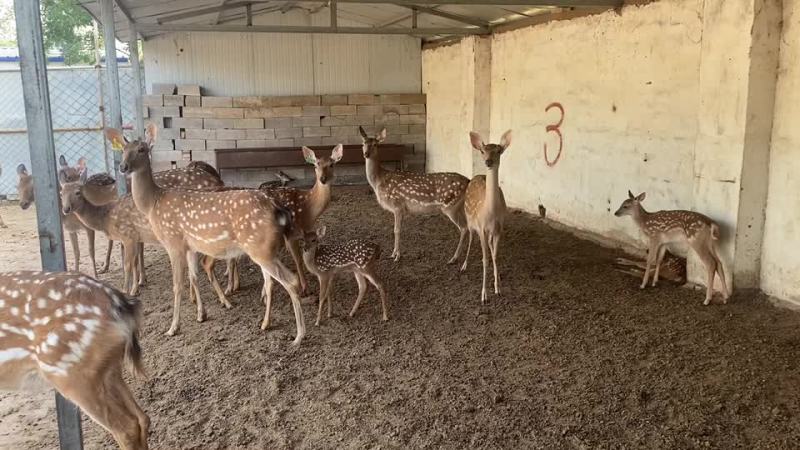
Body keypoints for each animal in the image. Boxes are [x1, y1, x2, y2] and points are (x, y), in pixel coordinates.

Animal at [108, 124, 306, 343]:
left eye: (142, 149)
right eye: (123, 150)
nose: (123, 167)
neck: (153, 203)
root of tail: (277, 208)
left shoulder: (173, 242)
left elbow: (177, 285)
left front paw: (173, 328)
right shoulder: (191, 247)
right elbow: (194, 277)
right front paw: (201, 314)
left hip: (260, 248)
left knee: (290, 280)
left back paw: (299, 335)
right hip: (266, 248)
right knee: (272, 281)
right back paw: (266, 324)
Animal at [360, 126, 469, 263]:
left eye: (375, 144)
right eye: (363, 143)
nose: (366, 154)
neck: (379, 181)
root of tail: (468, 181)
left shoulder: (397, 205)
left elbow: (396, 230)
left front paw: (396, 256)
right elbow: (397, 230)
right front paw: (393, 253)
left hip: (450, 206)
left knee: (464, 228)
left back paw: (454, 258)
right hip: (458, 206)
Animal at [462, 130, 513, 304]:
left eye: (498, 150)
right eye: (483, 151)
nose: (488, 161)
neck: (490, 213)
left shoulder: (499, 229)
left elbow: (495, 256)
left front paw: (498, 288)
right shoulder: (481, 228)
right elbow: (485, 260)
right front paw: (484, 295)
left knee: (490, 248)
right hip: (470, 221)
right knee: (470, 238)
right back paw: (463, 265)